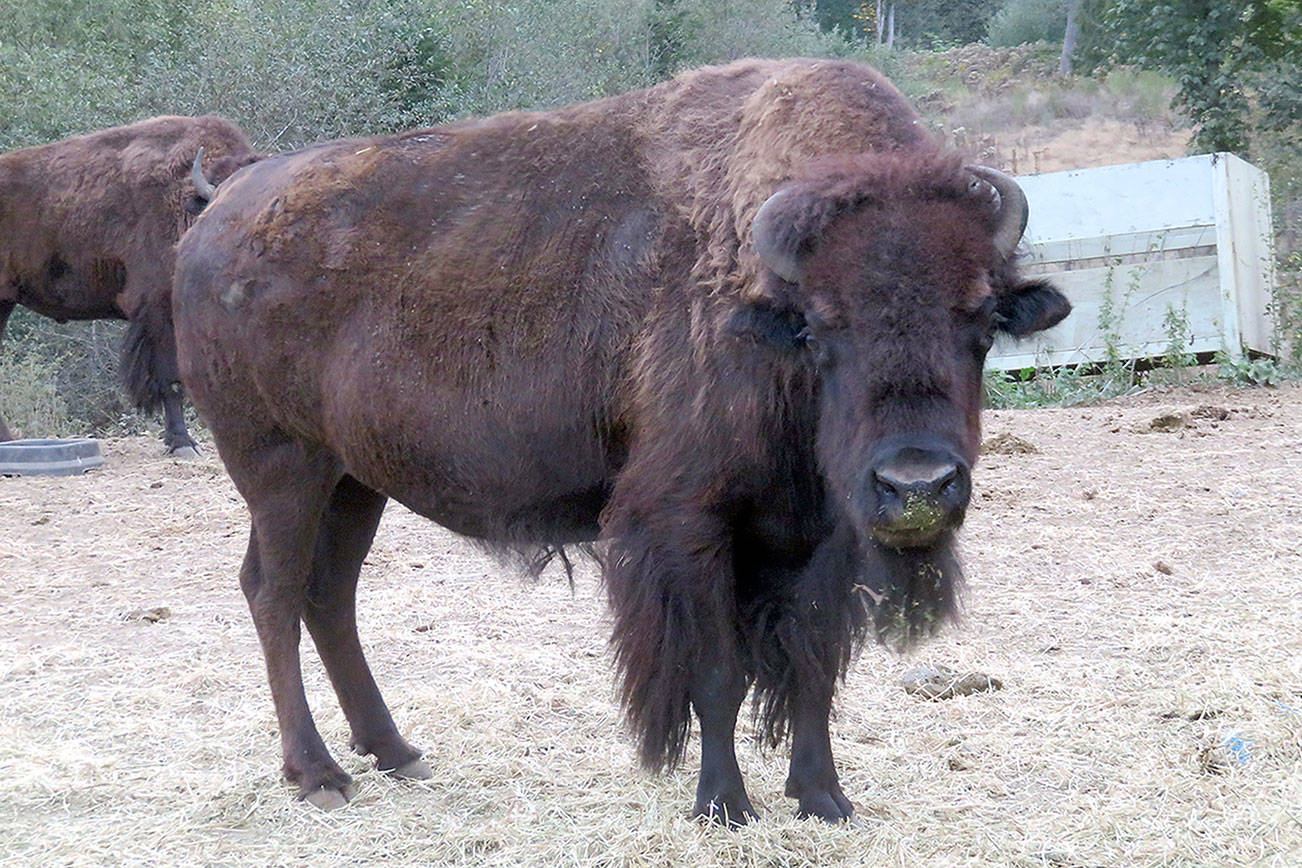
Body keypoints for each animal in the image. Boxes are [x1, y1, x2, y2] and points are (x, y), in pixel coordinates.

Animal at [173, 58, 1070, 822]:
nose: (916, 484)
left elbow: (811, 671)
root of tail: (223, 206)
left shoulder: (819, 539)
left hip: (354, 482)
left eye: (983, 321)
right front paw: (724, 806)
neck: (761, 311)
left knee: (330, 595)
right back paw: (319, 775)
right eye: (821, 328)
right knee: (274, 593)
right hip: (280, 469)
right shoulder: (687, 525)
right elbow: (716, 674)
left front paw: (824, 799)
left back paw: (394, 752)